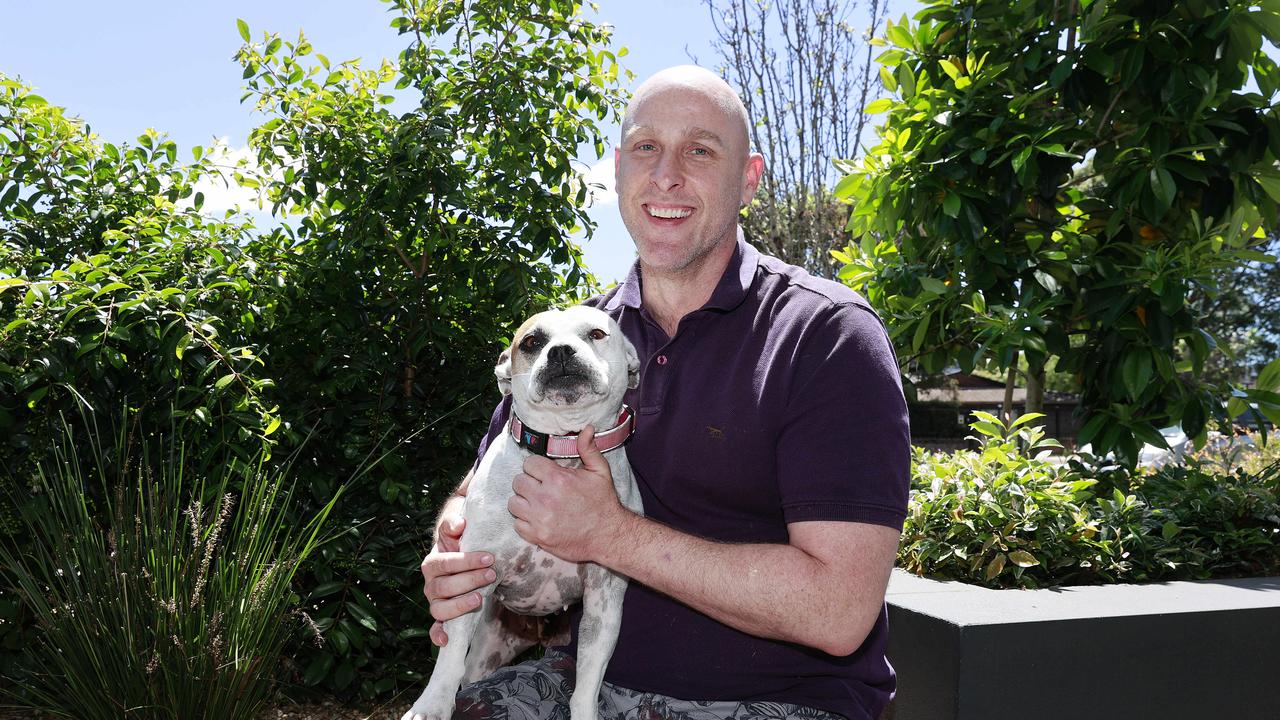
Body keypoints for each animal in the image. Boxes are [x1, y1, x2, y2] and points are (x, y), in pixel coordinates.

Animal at [404, 303, 645, 717]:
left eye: (597, 333)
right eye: (532, 342)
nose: (561, 351)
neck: (563, 451)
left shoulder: (603, 601)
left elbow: (588, 682)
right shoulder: (470, 577)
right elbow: (448, 658)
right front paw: (431, 705)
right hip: (486, 650)